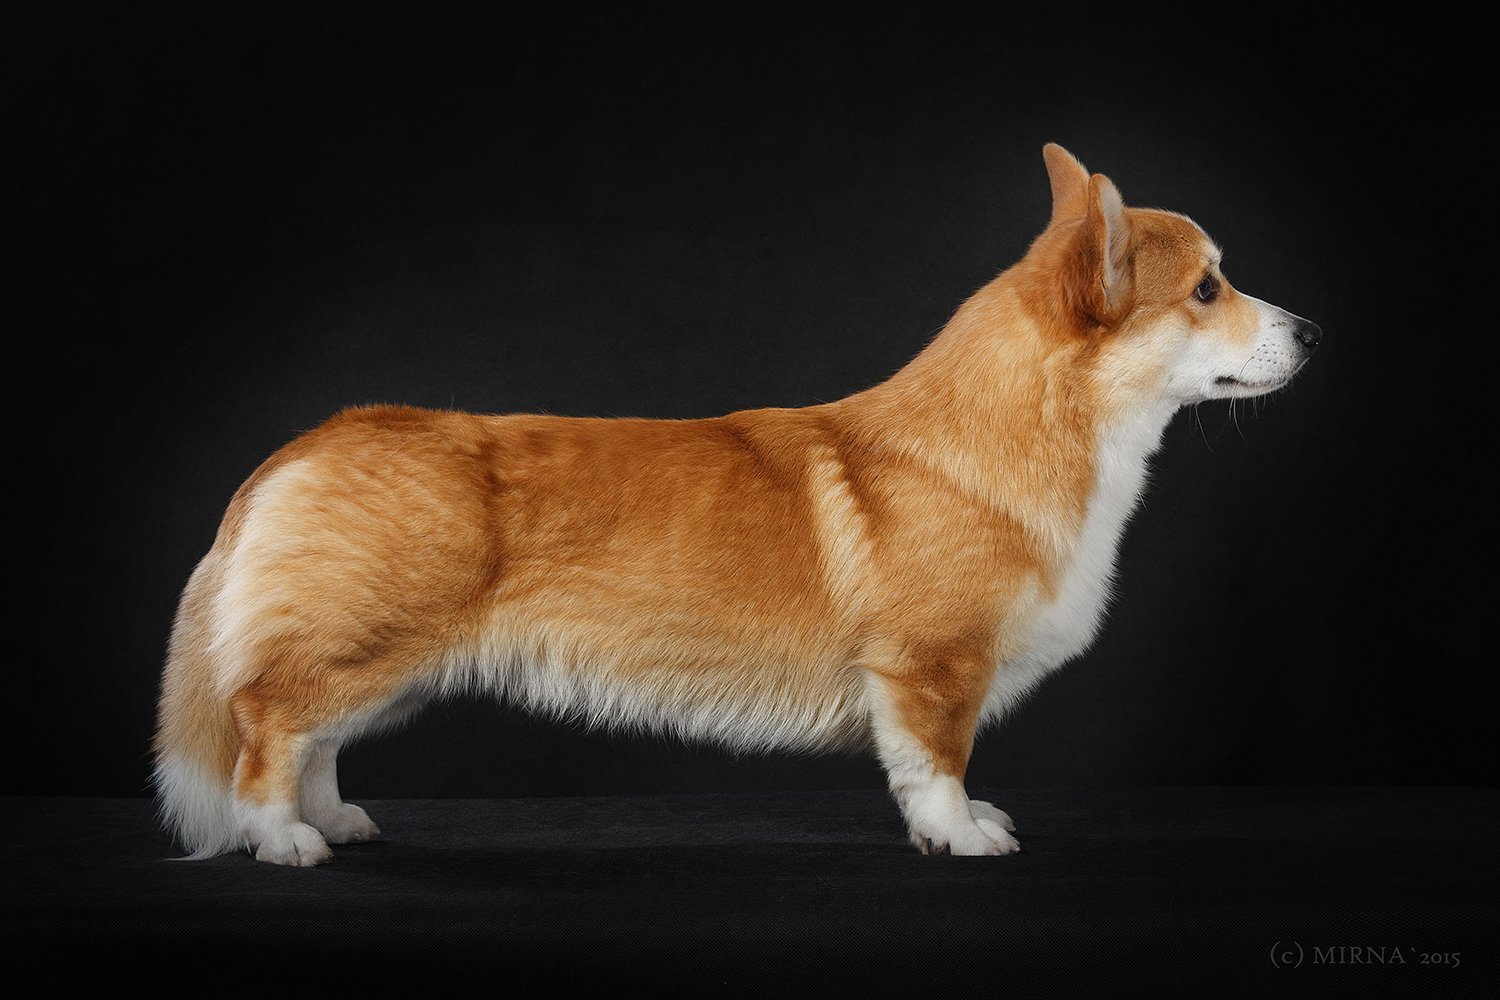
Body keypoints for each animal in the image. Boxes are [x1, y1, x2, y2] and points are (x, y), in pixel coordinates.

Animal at [153, 144, 1319, 864]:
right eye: (1208, 289)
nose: (1314, 332)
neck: (1030, 426)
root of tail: (307, 443)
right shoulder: (930, 669)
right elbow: (936, 763)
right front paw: (962, 835)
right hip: (367, 647)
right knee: (267, 725)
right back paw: (284, 841)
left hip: (381, 665)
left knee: (312, 739)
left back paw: (334, 820)